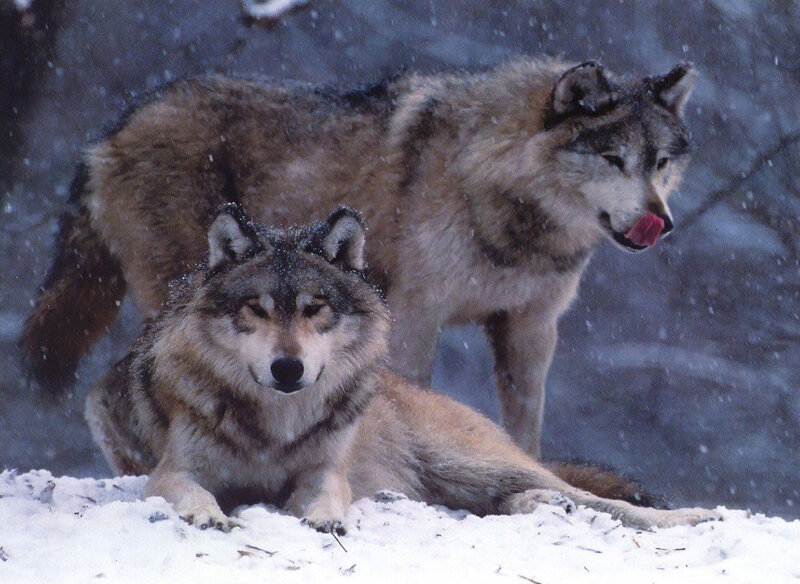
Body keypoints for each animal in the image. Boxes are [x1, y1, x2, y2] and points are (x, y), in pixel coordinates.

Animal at [23, 57, 698, 456]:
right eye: (613, 159)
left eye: (661, 162)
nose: (660, 223)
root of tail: (107, 135)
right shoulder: (418, 314)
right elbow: (417, 395)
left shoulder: (530, 328)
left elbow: (525, 428)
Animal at [85, 205, 716, 533]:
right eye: (257, 310)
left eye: (315, 309)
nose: (287, 368)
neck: (275, 424)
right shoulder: (171, 471)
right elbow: (189, 491)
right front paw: (208, 514)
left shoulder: (326, 472)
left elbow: (326, 496)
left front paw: (324, 521)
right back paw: (541, 507)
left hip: (468, 463)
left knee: (602, 499)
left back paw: (693, 514)